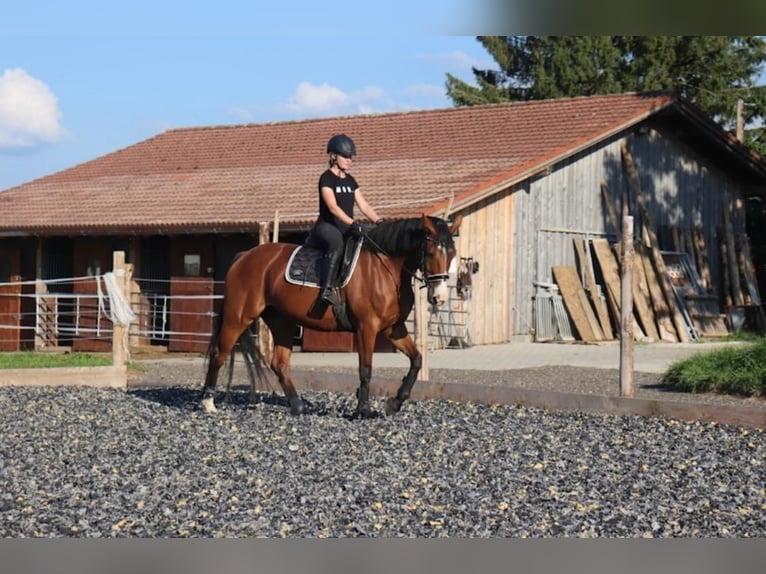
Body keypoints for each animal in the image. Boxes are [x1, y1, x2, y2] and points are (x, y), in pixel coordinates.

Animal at [202, 215, 462, 418]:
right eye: (431, 253)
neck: (385, 268)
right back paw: (208, 402)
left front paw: (394, 404)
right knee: (218, 354)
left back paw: (298, 406)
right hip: (238, 318)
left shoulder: (393, 328)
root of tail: (245, 256)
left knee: (279, 364)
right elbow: (365, 369)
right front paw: (363, 410)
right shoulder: (367, 327)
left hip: (281, 321)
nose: (439, 297)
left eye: (452, 254)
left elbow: (416, 360)